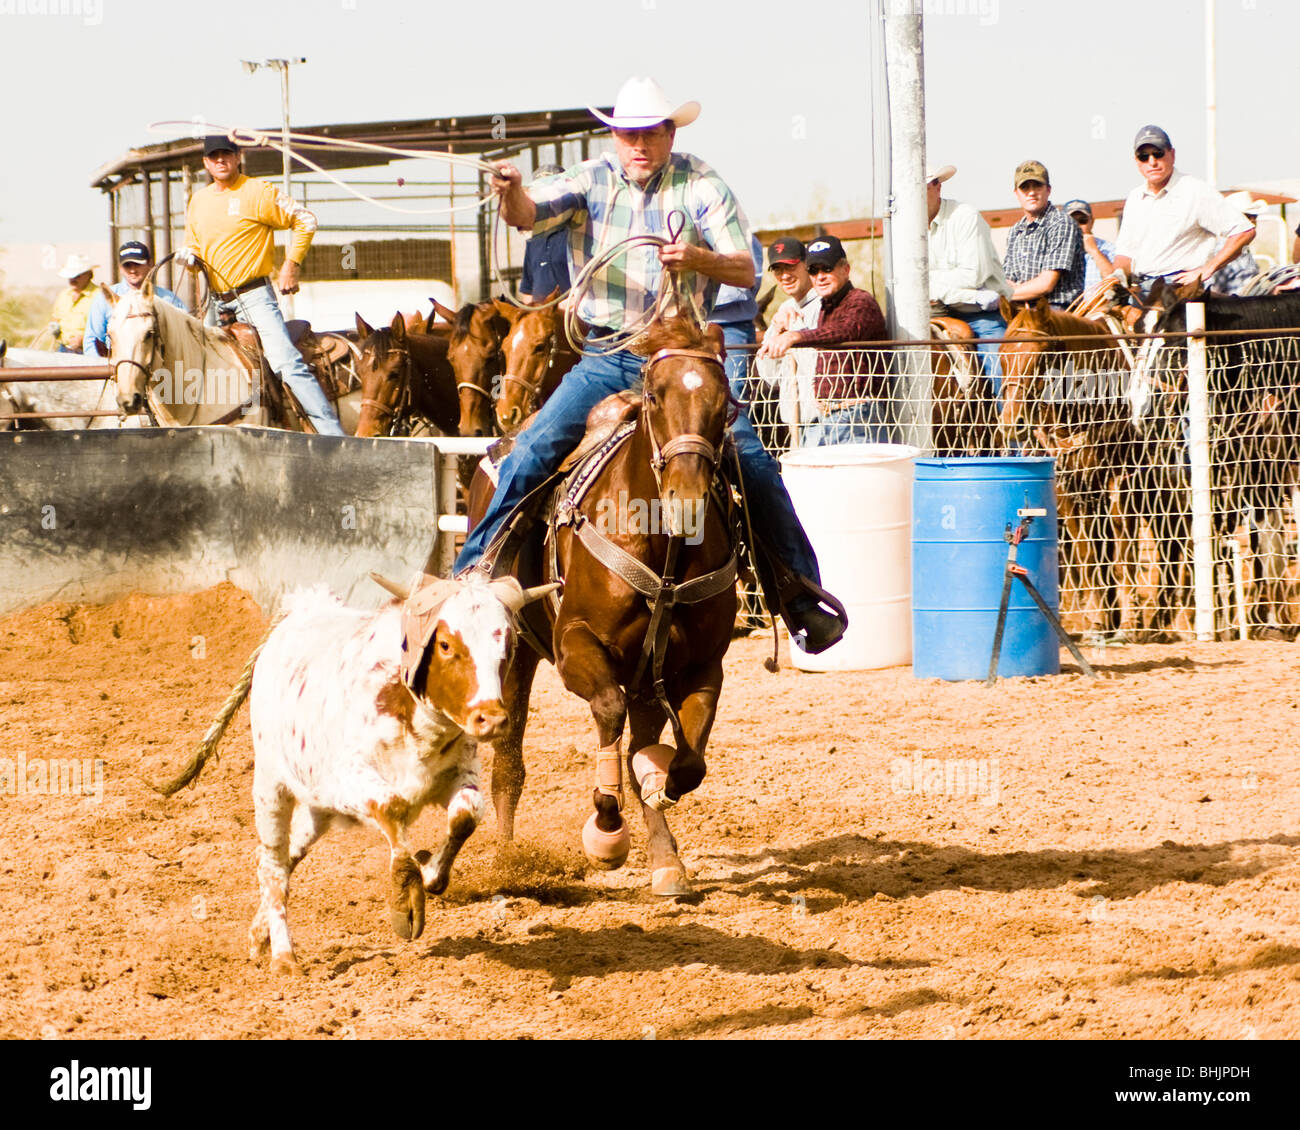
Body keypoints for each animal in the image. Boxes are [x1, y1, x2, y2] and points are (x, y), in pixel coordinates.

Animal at [246, 577, 543, 972]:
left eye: (508, 644)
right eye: (445, 644)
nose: (491, 719)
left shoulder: (459, 772)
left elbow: (465, 815)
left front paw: (430, 870)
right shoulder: (349, 778)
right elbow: (393, 807)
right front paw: (406, 898)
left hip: (316, 808)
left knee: (288, 857)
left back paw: (258, 935)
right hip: (271, 787)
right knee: (274, 867)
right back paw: (283, 957)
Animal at [473, 313, 743, 894]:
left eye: (724, 401)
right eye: (655, 396)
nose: (687, 498)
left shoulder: (704, 666)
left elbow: (686, 763)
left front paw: (654, 786)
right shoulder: (576, 646)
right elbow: (607, 710)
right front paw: (606, 828)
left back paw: (665, 860)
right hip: (516, 652)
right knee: (509, 761)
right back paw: (505, 860)